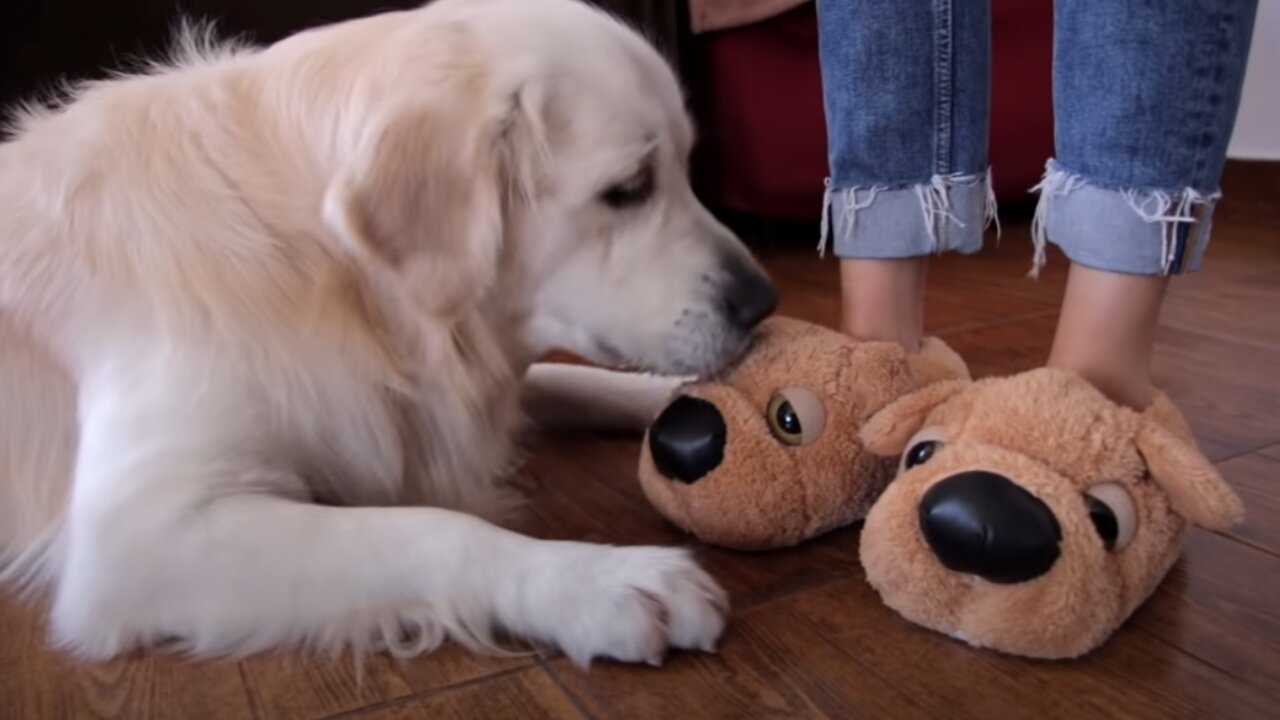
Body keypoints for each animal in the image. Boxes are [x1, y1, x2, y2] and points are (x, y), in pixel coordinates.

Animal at [2, 0, 778, 666]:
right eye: (627, 189)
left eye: (686, 169)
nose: (763, 301)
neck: (326, 269)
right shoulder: (137, 535)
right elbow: (431, 530)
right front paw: (602, 582)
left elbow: (571, 379)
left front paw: (681, 398)